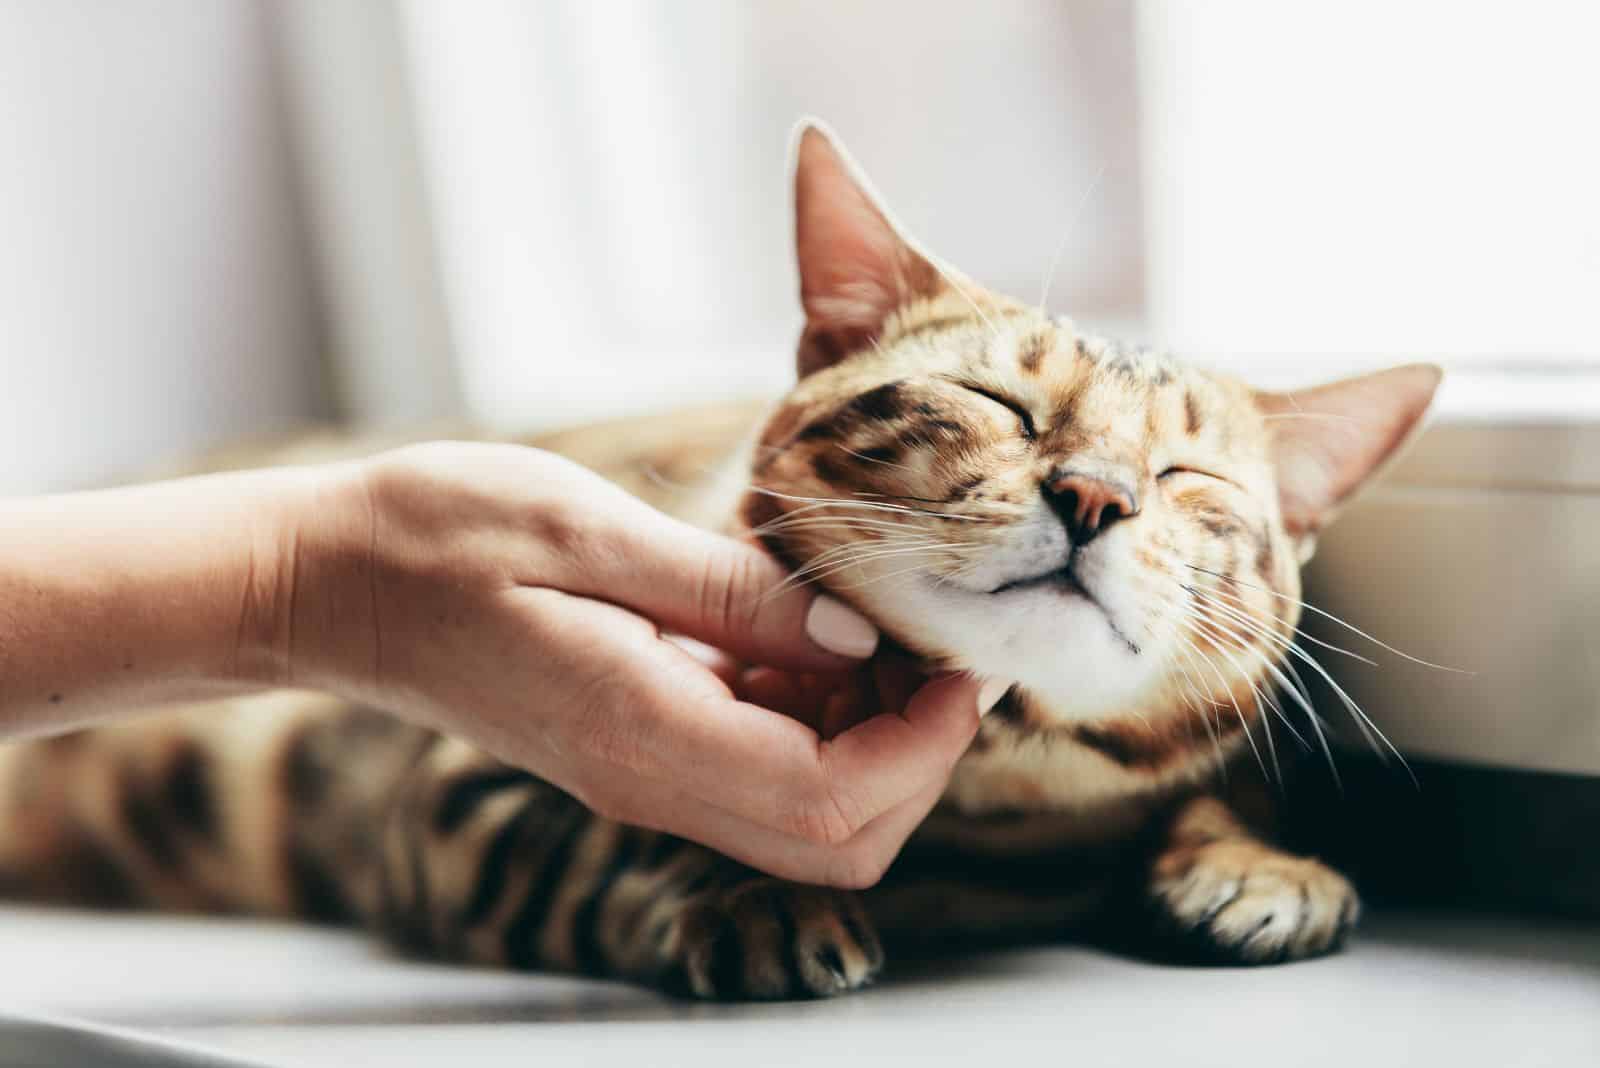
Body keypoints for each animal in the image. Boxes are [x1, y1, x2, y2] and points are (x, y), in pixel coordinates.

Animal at [0, 125, 1440, 1004]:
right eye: (998, 404)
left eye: (1191, 482)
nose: (1095, 495)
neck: (984, 811)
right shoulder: (453, 789)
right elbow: (596, 848)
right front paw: (746, 893)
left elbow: (1215, 786)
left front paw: (1259, 863)